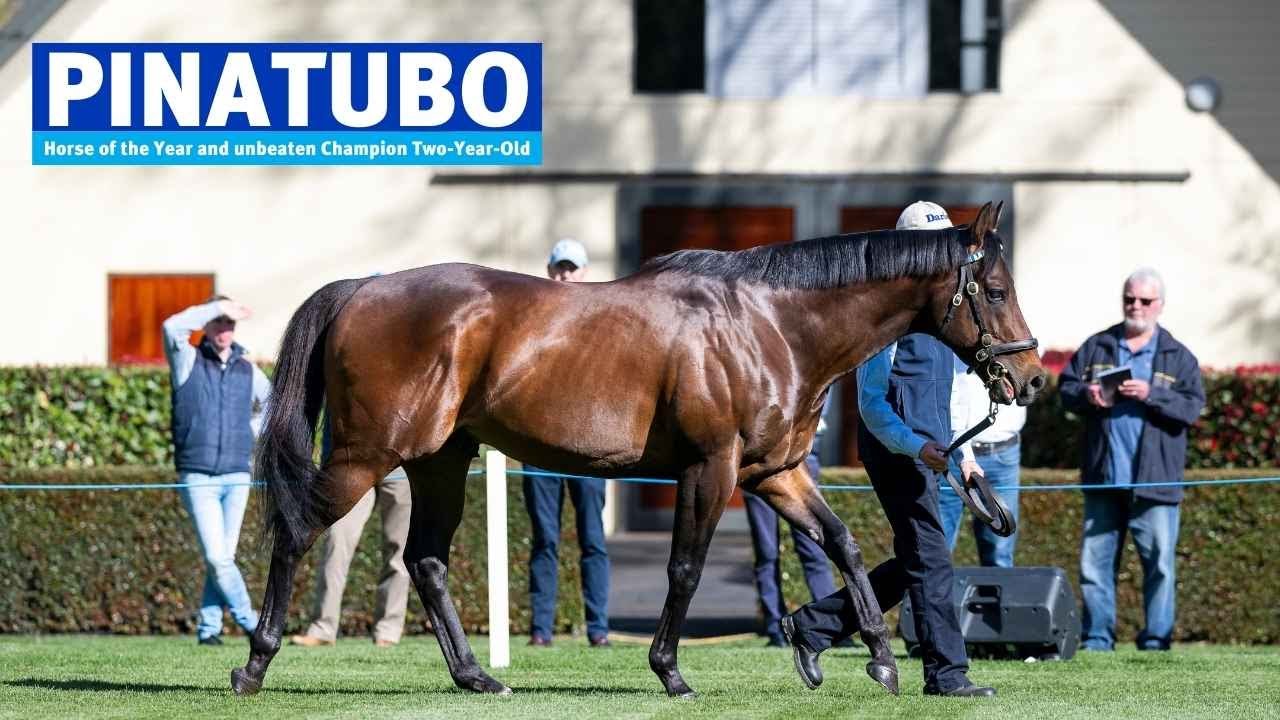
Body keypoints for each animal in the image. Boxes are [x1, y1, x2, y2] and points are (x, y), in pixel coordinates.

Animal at [230, 201, 1045, 699]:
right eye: (997, 290)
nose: (1033, 378)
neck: (771, 325)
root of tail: (361, 288)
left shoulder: (774, 473)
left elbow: (842, 542)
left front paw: (872, 657)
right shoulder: (711, 469)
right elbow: (685, 568)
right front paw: (670, 671)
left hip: (440, 459)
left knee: (424, 559)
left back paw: (476, 678)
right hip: (366, 454)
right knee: (298, 531)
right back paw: (254, 663)